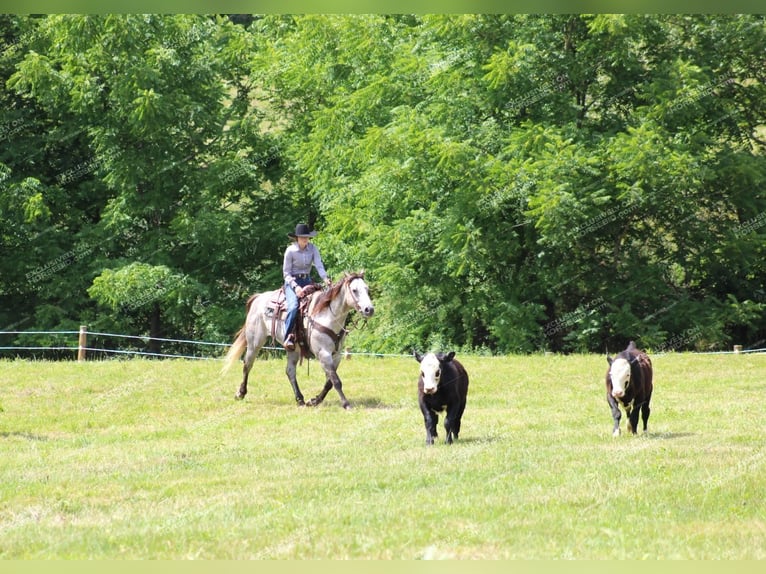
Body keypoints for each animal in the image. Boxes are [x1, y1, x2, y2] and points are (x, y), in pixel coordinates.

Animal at [220, 274, 376, 410]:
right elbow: (336, 381)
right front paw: (346, 404)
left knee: (290, 371)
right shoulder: (323, 354)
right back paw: (240, 393)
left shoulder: (336, 355)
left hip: (293, 349)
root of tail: (258, 298)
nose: (369, 309)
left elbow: (329, 383)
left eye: (367, 289)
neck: (327, 316)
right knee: (247, 365)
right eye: (354, 290)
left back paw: (300, 399)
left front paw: (314, 401)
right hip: (254, 343)